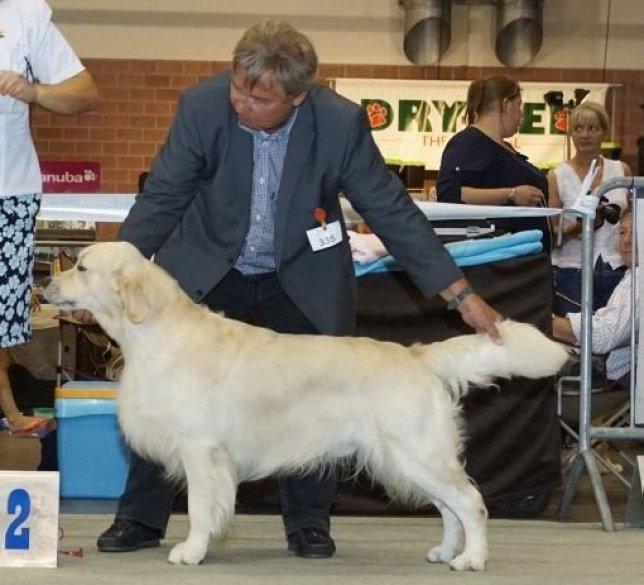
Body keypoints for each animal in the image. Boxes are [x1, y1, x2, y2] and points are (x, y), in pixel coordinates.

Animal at [45, 242, 568, 572]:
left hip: (417, 452)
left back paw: (473, 559)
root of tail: (416, 355)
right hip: (408, 459)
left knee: (470, 503)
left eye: (82, 267)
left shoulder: (200, 449)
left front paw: (192, 551)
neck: (155, 332)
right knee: (449, 508)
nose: (46, 288)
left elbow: (198, 507)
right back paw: (446, 552)